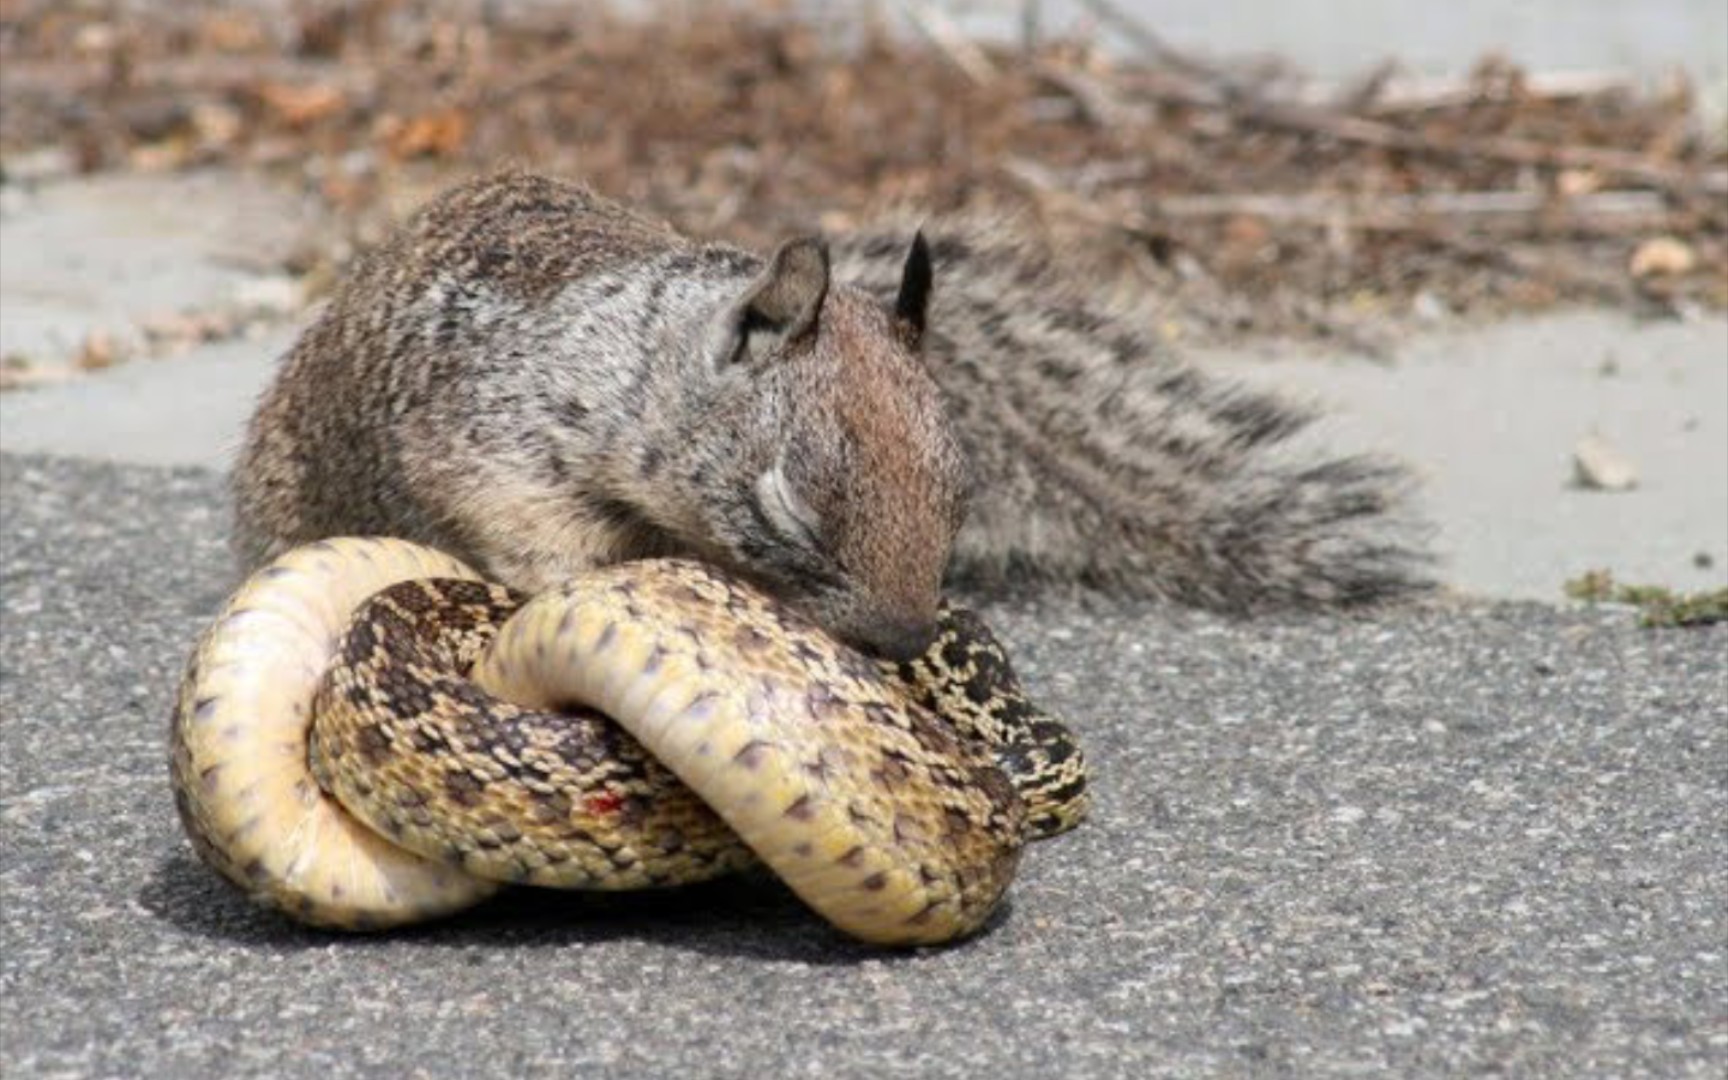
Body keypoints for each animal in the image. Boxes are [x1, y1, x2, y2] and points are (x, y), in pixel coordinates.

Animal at [240, 171, 1430, 656]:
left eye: (962, 496)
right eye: (795, 508)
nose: (903, 641)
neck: (647, 364)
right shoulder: (500, 440)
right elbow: (524, 531)